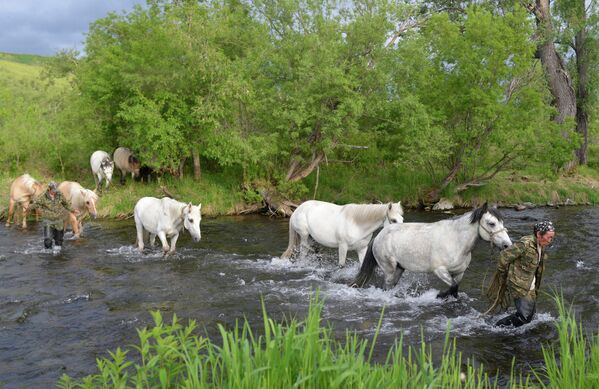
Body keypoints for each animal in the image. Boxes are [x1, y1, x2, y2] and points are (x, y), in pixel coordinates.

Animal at [354, 203, 512, 298]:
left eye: (502, 222)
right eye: (491, 223)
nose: (507, 245)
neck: (455, 240)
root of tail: (379, 236)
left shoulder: (459, 273)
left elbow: (456, 289)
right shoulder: (439, 270)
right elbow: (453, 287)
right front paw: (439, 296)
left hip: (399, 269)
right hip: (389, 270)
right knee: (386, 287)